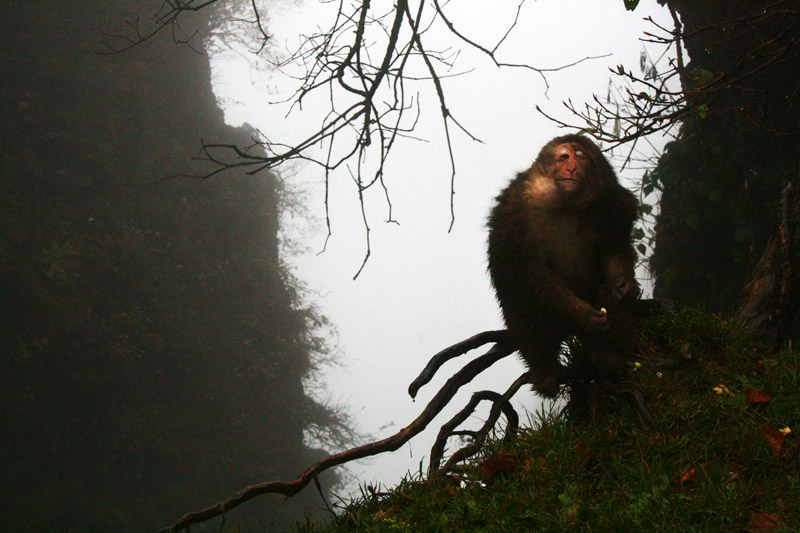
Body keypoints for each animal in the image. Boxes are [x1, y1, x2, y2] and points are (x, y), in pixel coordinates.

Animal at [484, 135, 640, 396]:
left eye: (580, 157)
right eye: (564, 157)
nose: (572, 168)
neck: (566, 204)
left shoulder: (613, 202)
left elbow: (613, 244)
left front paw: (624, 284)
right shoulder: (514, 210)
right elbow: (526, 271)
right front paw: (582, 313)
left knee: (602, 291)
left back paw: (606, 353)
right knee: (525, 302)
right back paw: (545, 370)